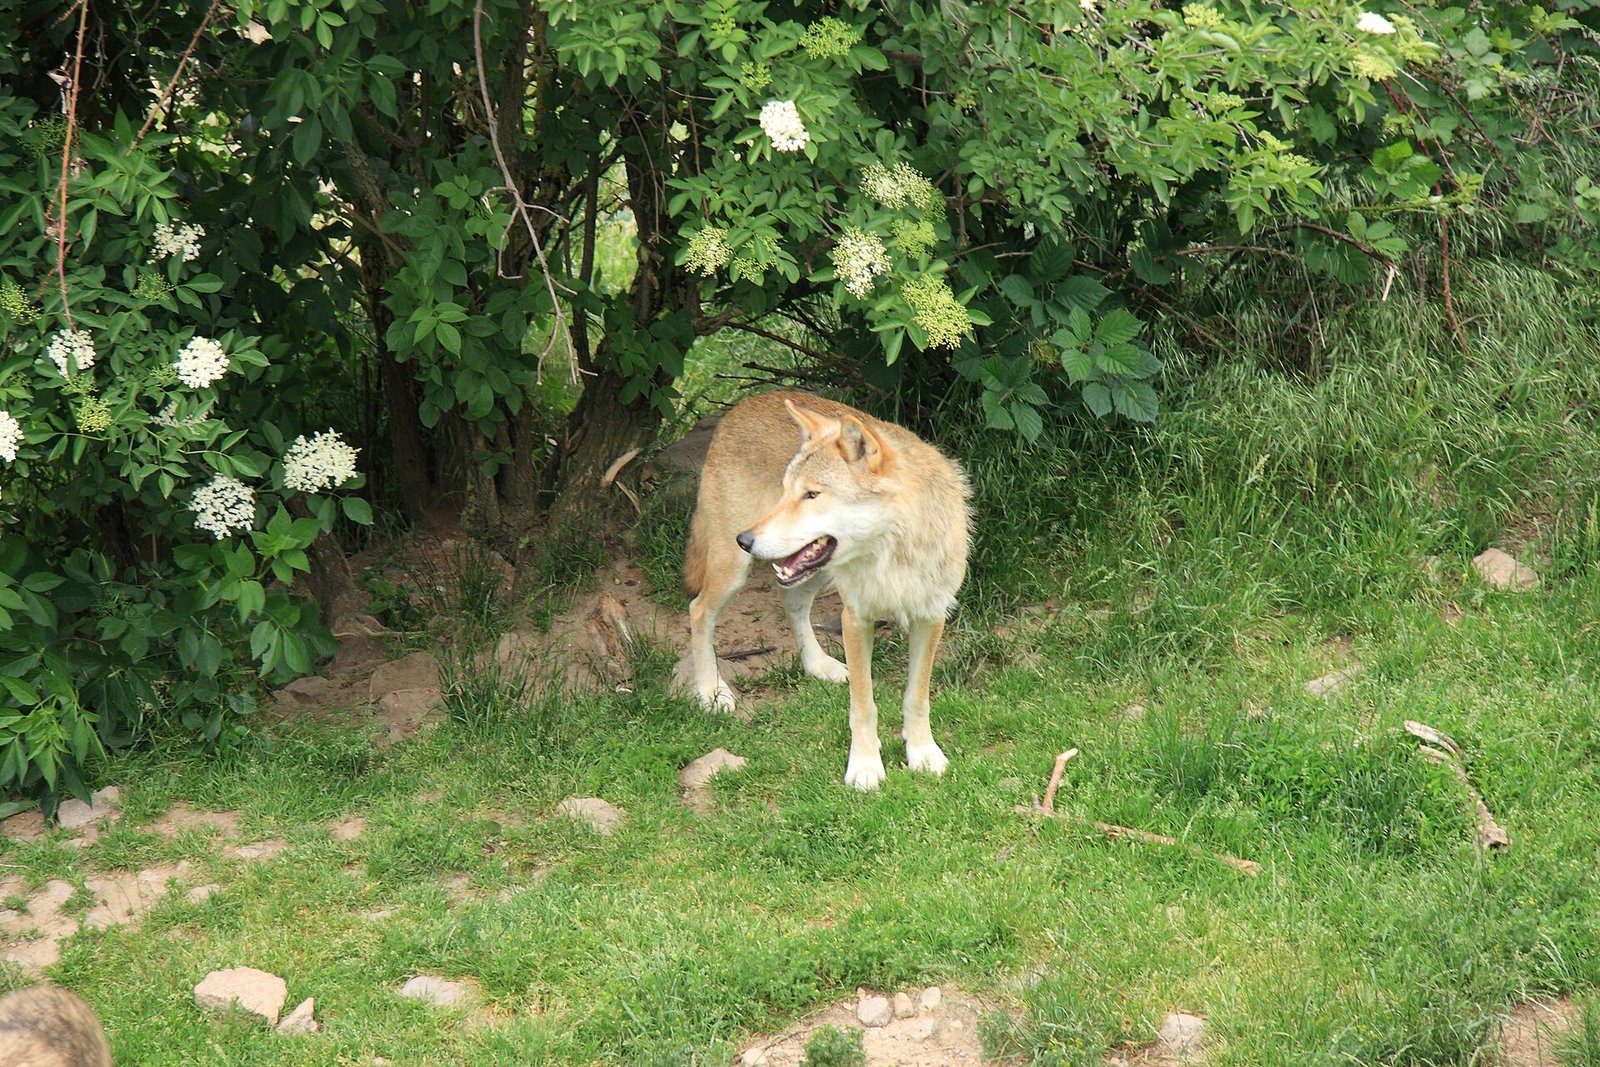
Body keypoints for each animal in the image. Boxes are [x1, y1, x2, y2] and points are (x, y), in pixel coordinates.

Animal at [684, 391, 971, 790]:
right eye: (786, 491)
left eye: (811, 495)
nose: (746, 539)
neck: (892, 554)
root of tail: (743, 404)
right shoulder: (855, 619)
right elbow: (864, 705)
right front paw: (865, 767)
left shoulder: (931, 617)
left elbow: (917, 697)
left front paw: (924, 754)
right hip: (734, 571)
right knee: (698, 610)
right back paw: (711, 691)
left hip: (815, 573)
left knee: (792, 603)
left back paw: (819, 666)